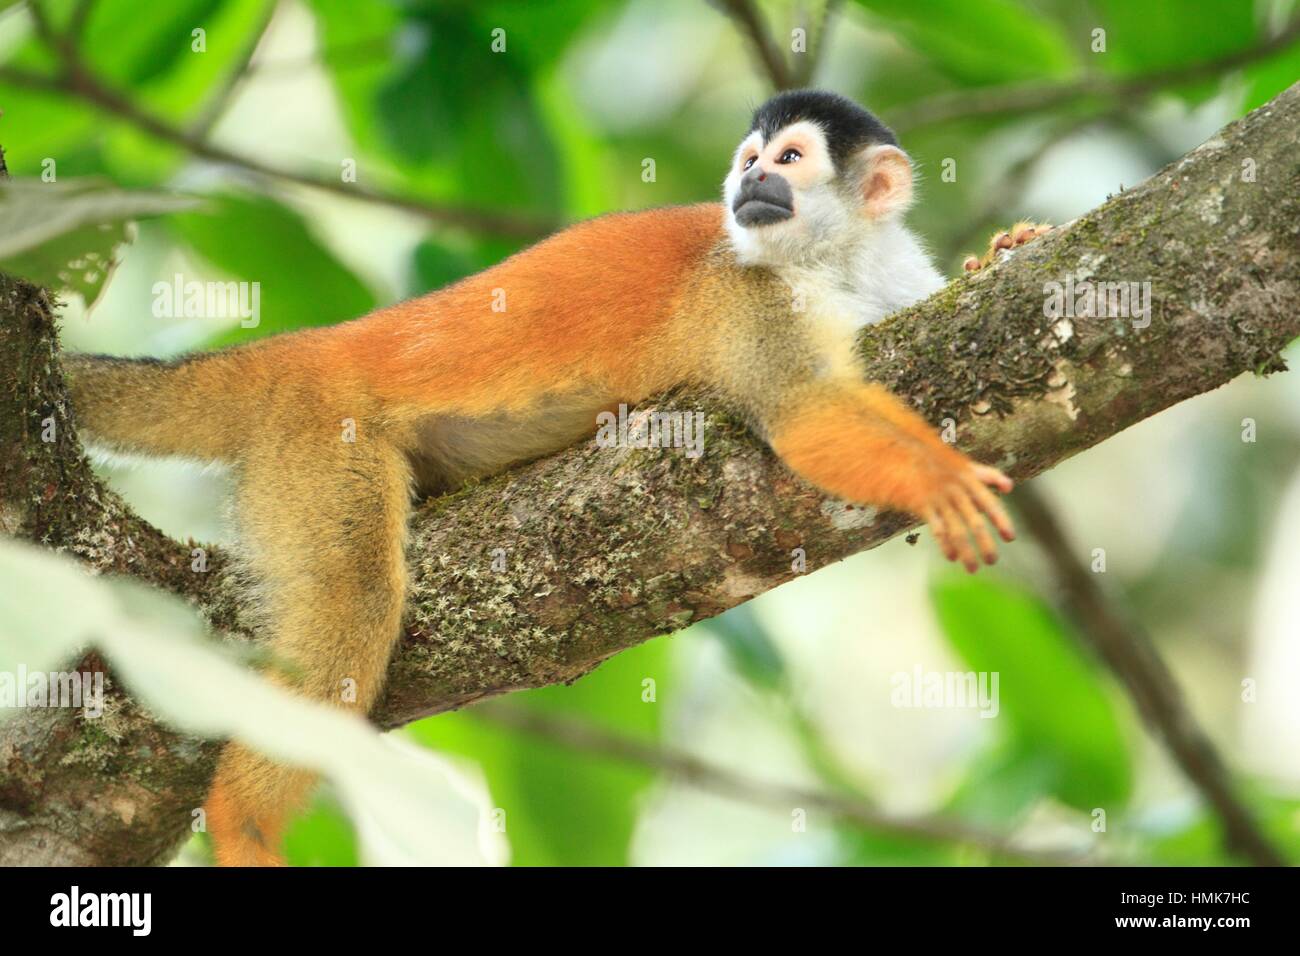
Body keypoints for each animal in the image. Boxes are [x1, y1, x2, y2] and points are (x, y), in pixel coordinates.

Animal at [62, 89, 1036, 866]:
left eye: (788, 161)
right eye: (750, 161)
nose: (750, 186)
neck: (834, 263)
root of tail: (307, 350)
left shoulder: (884, 278)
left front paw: (1005, 249)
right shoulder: (745, 297)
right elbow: (804, 416)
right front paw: (938, 478)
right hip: (318, 437)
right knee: (355, 595)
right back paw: (243, 823)